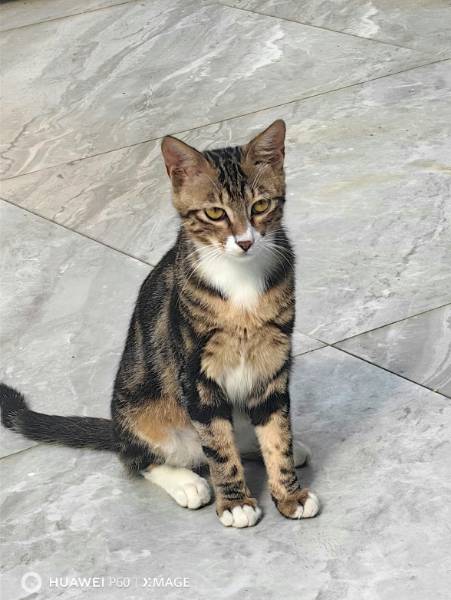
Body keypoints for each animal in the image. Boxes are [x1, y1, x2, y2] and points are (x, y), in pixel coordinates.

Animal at [0, 120, 320, 528]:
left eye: (260, 206)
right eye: (214, 213)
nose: (246, 242)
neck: (241, 283)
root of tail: (117, 429)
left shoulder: (273, 361)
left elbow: (277, 430)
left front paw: (290, 492)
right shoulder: (195, 372)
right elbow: (218, 447)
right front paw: (235, 503)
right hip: (142, 411)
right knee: (141, 458)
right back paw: (187, 482)